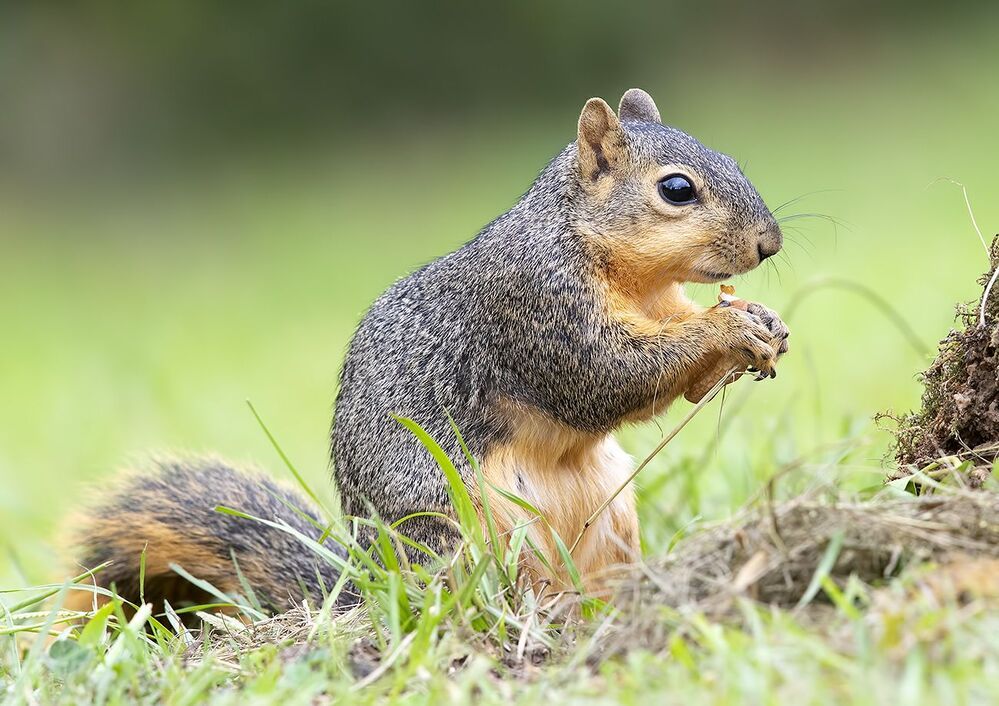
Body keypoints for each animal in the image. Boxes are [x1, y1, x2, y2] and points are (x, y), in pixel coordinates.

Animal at [65, 89, 789, 616]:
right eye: (676, 189)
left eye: (733, 161)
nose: (769, 244)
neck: (619, 269)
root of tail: (368, 591)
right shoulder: (536, 310)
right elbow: (606, 376)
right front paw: (724, 331)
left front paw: (762, 323)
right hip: (457, 532)